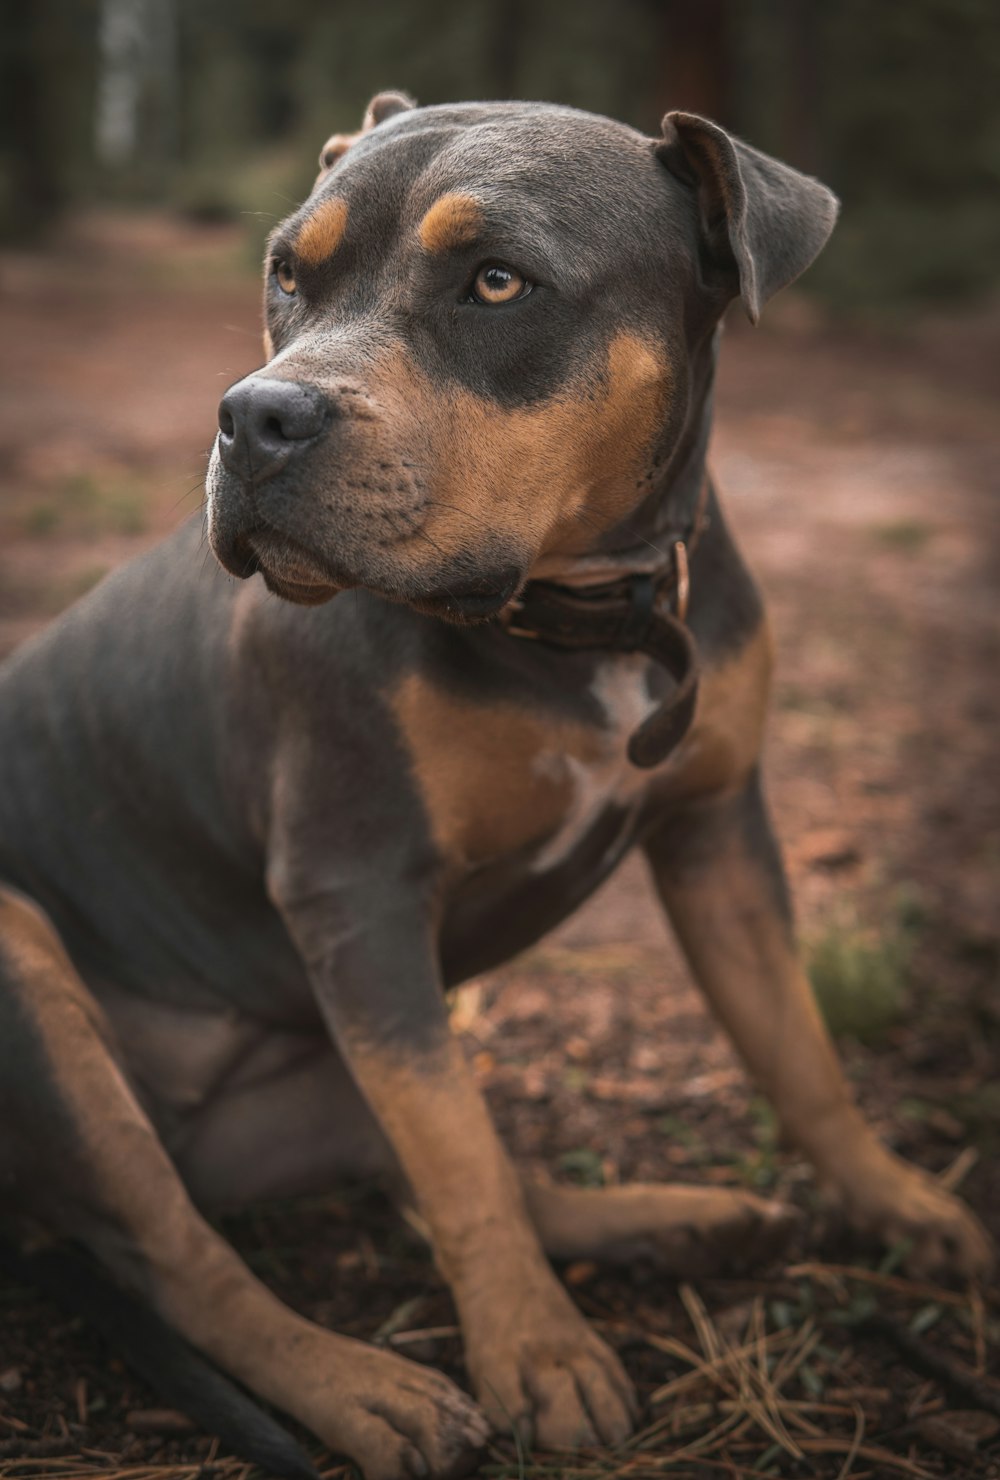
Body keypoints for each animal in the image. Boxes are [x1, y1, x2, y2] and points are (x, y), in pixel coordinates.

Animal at [0, 89, 994, 1480]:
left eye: (497, 281)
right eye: (285, 274)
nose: (254, 416)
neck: (582, 612)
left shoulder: (718, 833)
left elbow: (795, 1049)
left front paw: (893, 1200)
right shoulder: (358, 894)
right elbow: (458, 1157)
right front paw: (536, 1353)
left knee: (429, 1170)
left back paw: (672, 1219)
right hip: (32, 967)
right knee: (182, 1254)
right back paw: (366, 1387)